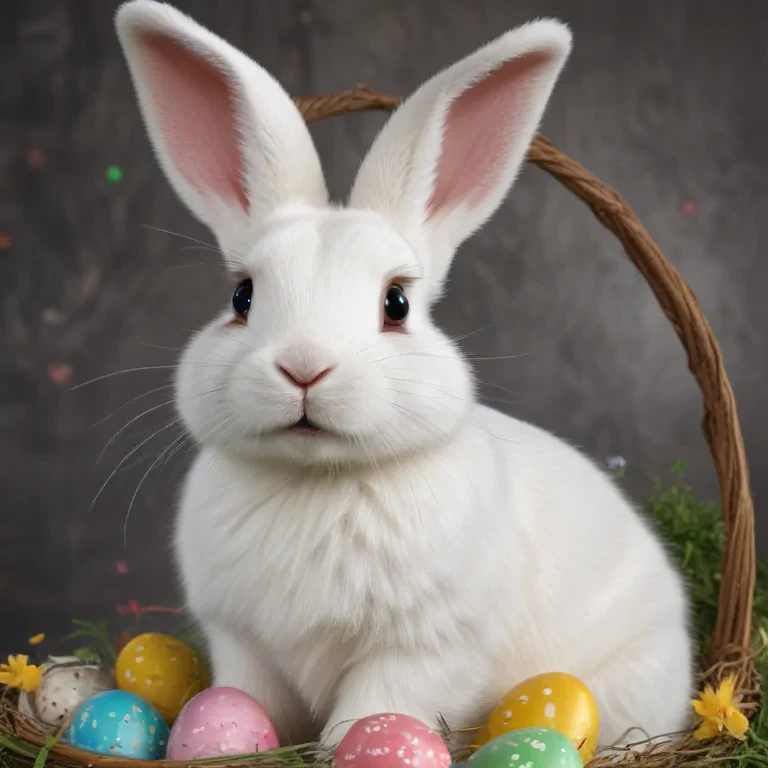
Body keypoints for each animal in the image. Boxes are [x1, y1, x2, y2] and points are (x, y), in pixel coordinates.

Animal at [115, 0, 693, 753]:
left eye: (396, 304)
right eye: (242, 296)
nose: (304, 365)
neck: (318, 482)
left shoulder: (424, 652)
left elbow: (373, 714)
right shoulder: (241, 645)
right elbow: (240, 699)